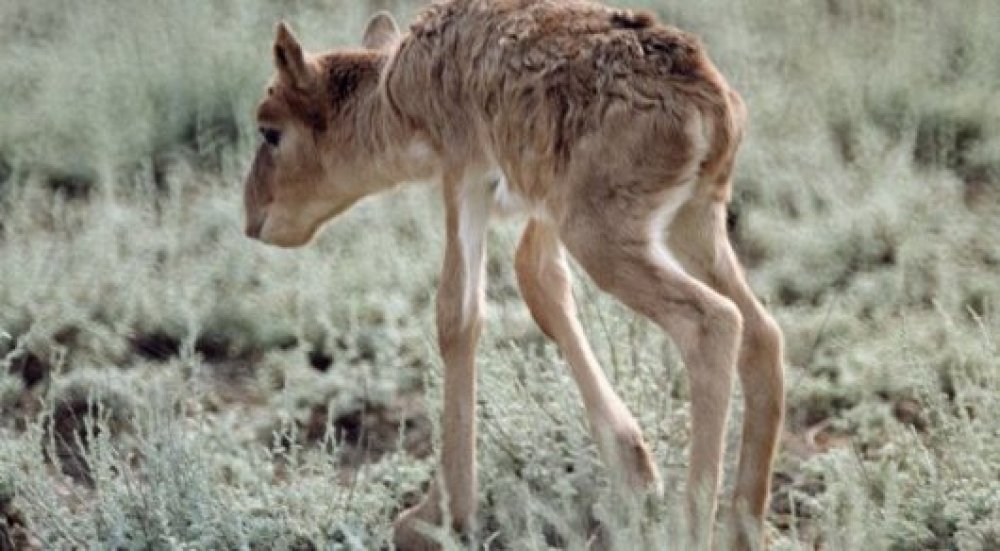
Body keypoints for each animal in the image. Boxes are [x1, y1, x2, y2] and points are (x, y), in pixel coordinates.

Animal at [240, 2, 780, 548]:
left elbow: (457, 315)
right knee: (761, 331)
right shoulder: (543, 204)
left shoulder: (465, 175)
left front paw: (438, 515)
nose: (252, 218)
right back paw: (745, 526)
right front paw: (635, 470)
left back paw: (689, 528)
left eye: (269, 130)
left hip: (605, 239)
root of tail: (711, 100)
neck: (397, 85)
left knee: (713, 323)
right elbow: (539, 282)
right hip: (692, 222)